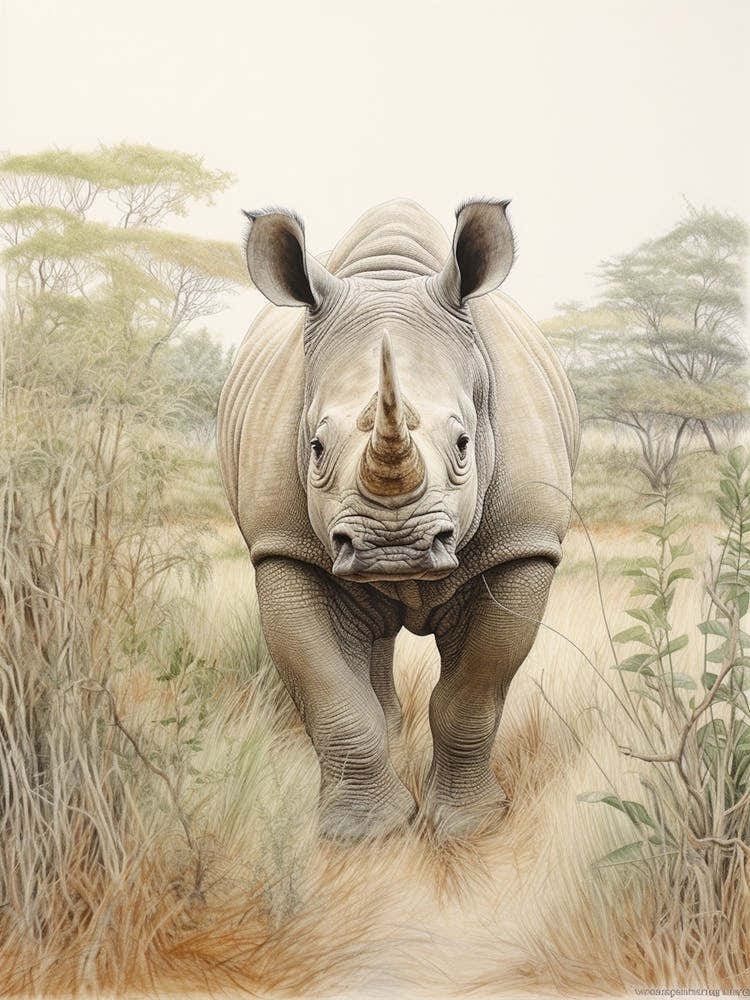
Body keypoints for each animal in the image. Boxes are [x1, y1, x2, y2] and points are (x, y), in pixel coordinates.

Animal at [217, 199, 578, 840]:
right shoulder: (283, 545)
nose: (393, 547)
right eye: (315, 447)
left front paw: (470, 827)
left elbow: (473, 695)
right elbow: (332, 694)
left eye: (464, 443)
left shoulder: (523, 545)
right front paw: (364, 835)